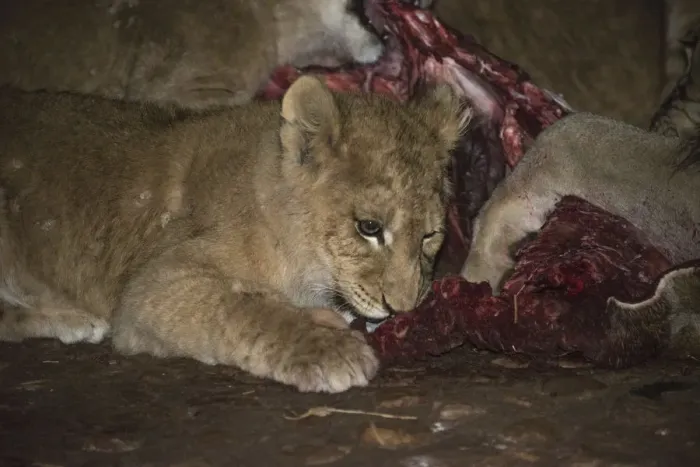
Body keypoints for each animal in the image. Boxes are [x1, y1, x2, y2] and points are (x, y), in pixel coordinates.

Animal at [0, 76, 469, 393]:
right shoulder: (151, 284)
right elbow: (242, 304)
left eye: (430, 236)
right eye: (368, 228)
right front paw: (326, 344)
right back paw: (70, 319)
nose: (402, 309)